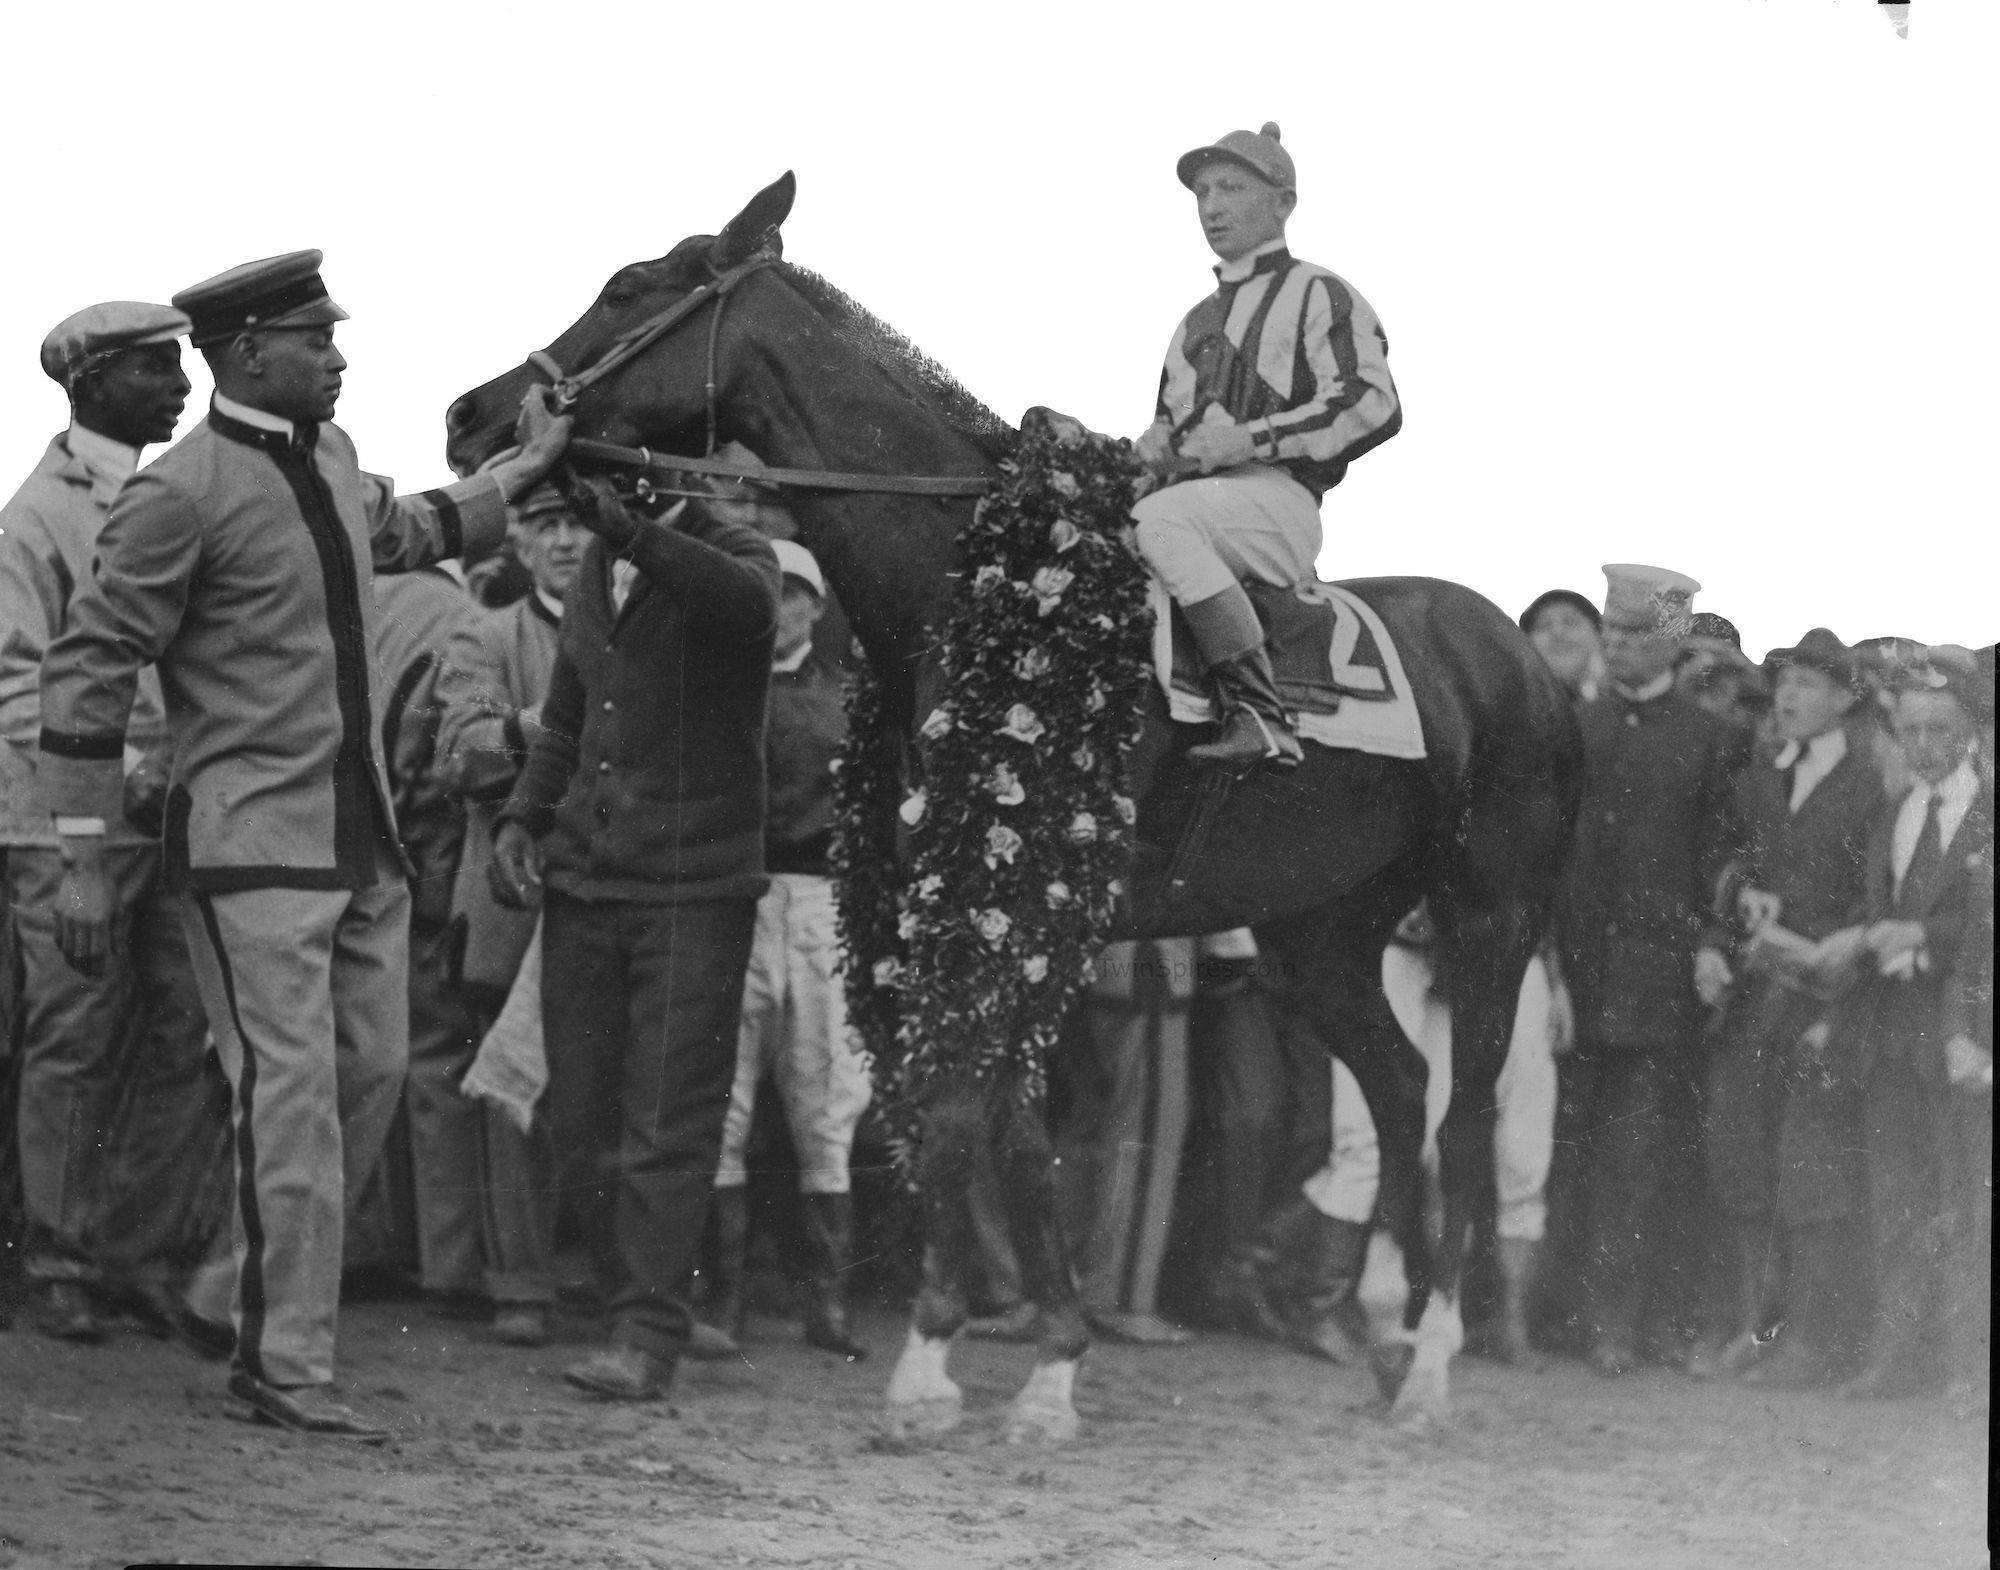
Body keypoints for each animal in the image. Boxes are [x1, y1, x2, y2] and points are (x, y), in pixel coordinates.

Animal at [446, 175, 1584, 1448]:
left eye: (628, 285)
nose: (470, 414)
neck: (973, 583)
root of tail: (1517, 655)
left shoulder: (1020, 898)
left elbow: (959, 1113)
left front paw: (937, 1367)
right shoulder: (973, 895)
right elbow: (1010, 1129)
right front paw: (1037, 1357)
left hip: (1489, 920)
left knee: (1464, 1120)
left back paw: (1430, 1362)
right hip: (1322, 932)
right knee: (1394, 1090)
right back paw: (1388, 1339)